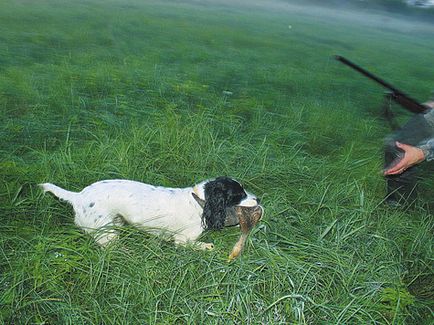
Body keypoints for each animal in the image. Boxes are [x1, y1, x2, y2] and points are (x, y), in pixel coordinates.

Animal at [39, 176, 262, 247]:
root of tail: (78, 196)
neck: (199, 200)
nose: (259, 199)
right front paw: (207, 246)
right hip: (106, 233)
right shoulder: (182, 240)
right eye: (239, 194)